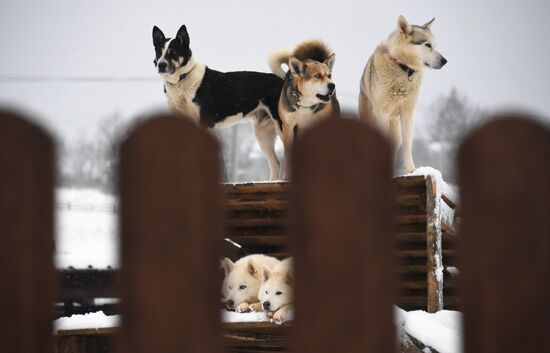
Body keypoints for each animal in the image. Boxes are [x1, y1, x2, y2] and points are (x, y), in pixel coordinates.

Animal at [154, 25, 284, 180]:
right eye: (158, 52)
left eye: (172, 52)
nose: (161, 65)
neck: (183, 79)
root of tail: (285, 80)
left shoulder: (205, 124)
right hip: (262, 132)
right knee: (276, 164)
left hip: (282, 126)